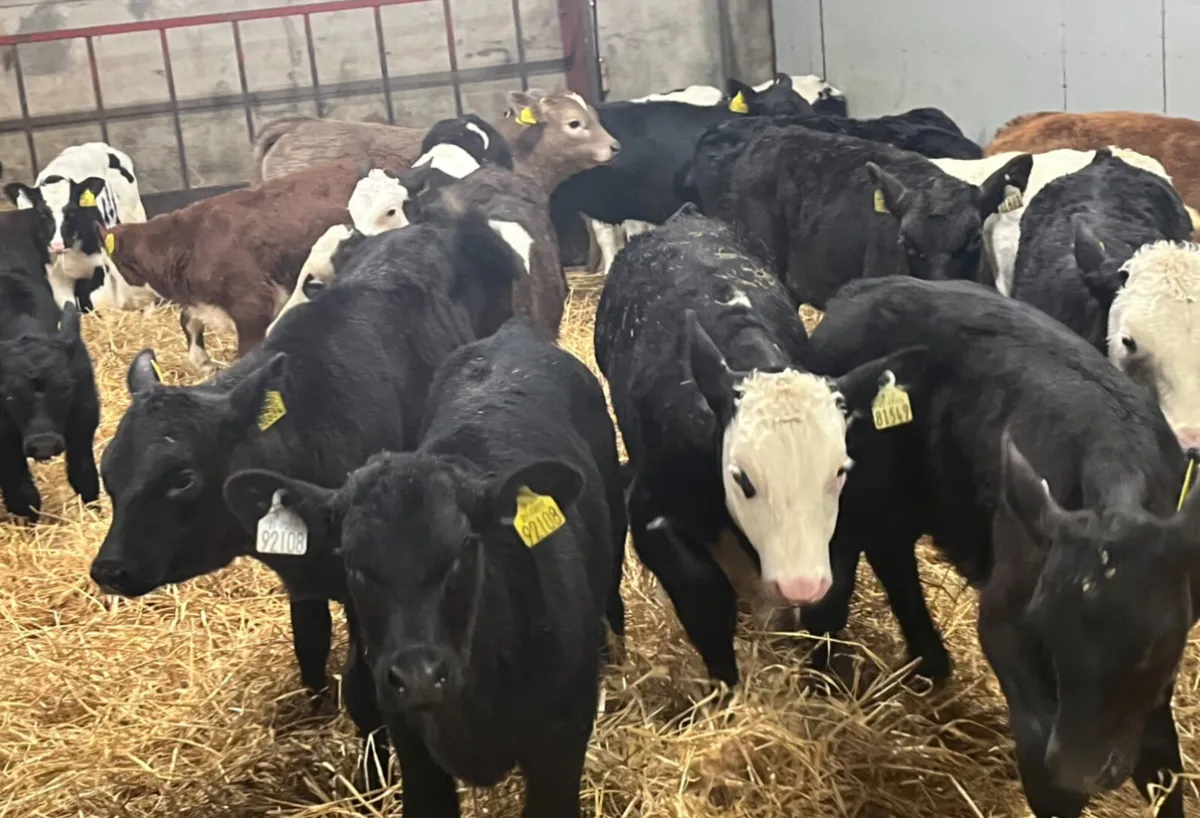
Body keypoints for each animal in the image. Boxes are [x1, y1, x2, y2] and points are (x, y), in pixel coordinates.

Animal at [593, 204, 923, 685]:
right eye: (743, 478)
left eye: (838, 473)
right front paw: (727, 689)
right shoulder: (651, 510)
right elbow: (705, 599)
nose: (800, 584)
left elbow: (828, 606)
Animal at [803, 275, 1195, 818]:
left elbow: (1161, 759)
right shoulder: (1005, 619)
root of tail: (863, 289)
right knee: (834, 587)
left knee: (891, 552)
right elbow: (1039, 750)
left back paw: (930, 664)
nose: (1082, 768)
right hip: (843, 498)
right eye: (1045, 626)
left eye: (1156, 641)